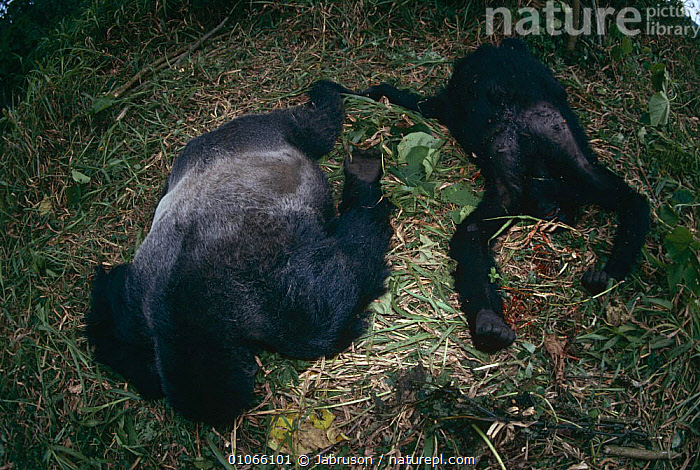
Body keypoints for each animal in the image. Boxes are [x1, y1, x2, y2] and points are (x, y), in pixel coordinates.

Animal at [86, 81, 394, 426]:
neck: (183, 325)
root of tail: (221, 133)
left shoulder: (289, 306)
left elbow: (334, 302)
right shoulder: (133, 310)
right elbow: (116, 335)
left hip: (272, 126)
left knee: (319, 125)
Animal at [366, 38, 652, 352]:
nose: (555, 215)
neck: (538, 161)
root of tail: (494, 47)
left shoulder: (580, 174)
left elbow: (632, 202)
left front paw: (605, 275)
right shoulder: (519, 192)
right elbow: (473, 234)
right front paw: (490, 323)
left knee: (432, 104)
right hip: (460, 95)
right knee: (432, 105)